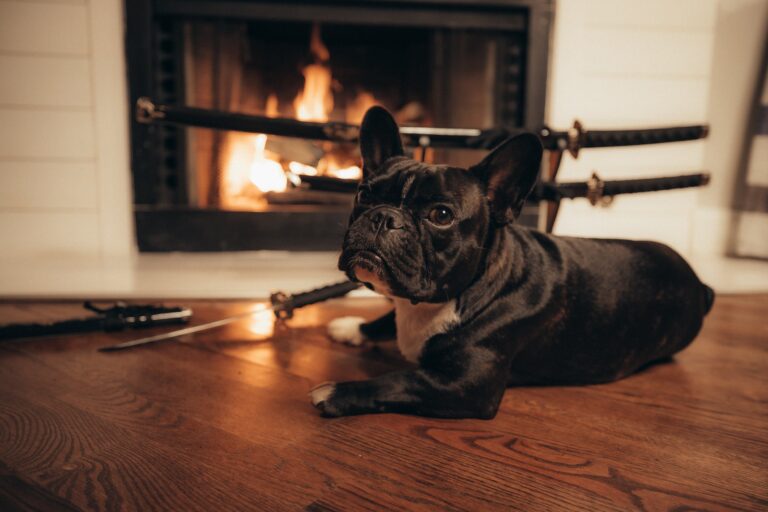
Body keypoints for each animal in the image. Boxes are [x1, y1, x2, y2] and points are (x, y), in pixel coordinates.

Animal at [308, 107, 716, 420]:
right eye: (364, 195)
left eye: (441, 215)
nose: (383, 216)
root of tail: (701, 285)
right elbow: (385, 320)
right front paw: (354, 326)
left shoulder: (466, 386)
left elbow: (399, 379)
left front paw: (337, 392)